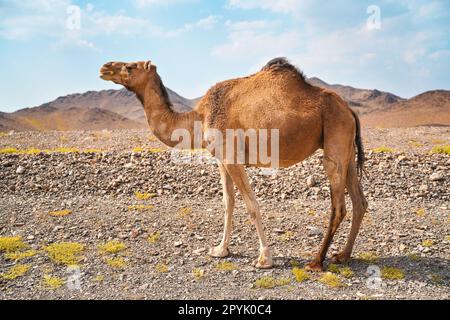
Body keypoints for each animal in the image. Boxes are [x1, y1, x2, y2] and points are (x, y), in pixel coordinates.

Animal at [100, 57, 368, 270]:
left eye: (130, 66)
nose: (104, 67)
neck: (199, 117)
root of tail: (349, 110)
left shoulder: (232, 157)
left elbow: (251, 205)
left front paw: (264, 259)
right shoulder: (221, 159)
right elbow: (228, 203)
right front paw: (221, 250)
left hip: (334, 141)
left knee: (339, 206)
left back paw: (316, 261)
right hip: (346, 150)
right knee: (360, 202)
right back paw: (343, 255)